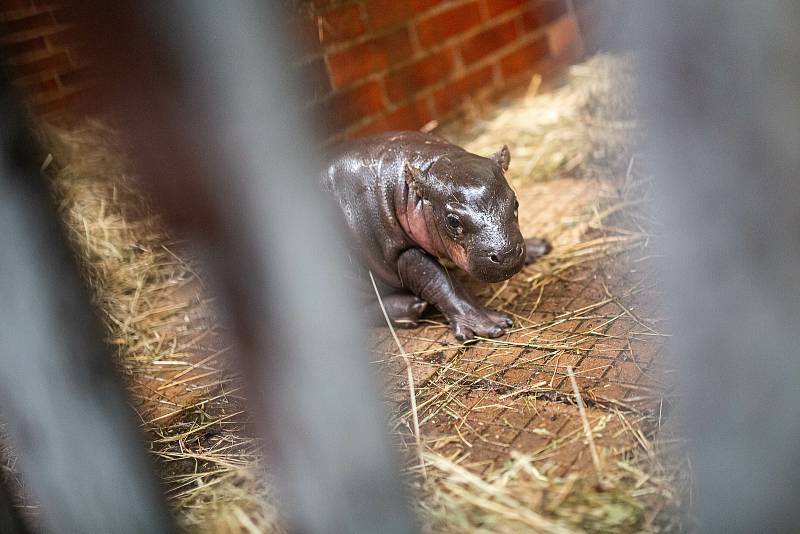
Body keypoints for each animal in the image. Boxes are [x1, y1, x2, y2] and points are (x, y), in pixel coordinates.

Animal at [324, 134, 552, 344]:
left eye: (515, 202)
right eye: (452, 221)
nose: (508, 254)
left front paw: (538, 247)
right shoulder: (400, 251)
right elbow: (440, 282)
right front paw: (491, 325)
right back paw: (412, 307)